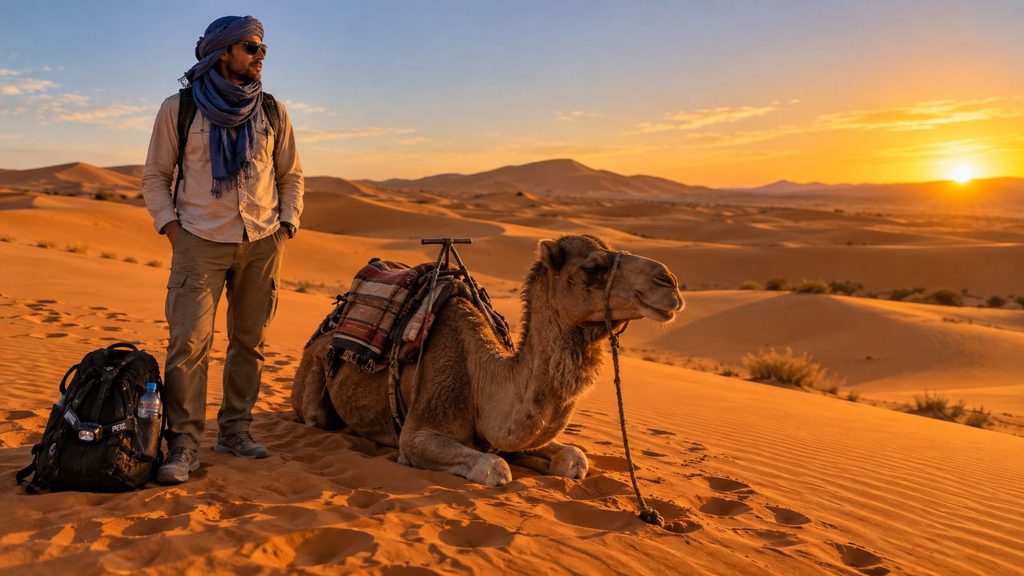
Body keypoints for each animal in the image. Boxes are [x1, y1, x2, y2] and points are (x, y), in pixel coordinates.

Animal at [291, 234, 683, 486]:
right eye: (592, 268)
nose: (670, 282)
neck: (484, 380)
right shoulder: (418, 430)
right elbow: (495, 468)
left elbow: (574, 460)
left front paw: (539, 460)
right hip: (313, 379)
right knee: (315, 416)